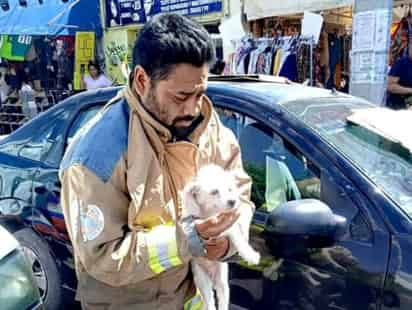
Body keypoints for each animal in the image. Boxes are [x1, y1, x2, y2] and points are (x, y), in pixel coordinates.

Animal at [183, 166, 260, 310]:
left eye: (230, 189)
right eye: (214, 192)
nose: (233, 201)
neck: (211, 213)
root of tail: (212, 275)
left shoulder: (229, 226)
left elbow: (238, 237)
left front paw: (250, 255)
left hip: (222, 281)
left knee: (222, 300)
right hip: (201, 279)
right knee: (209, 301)